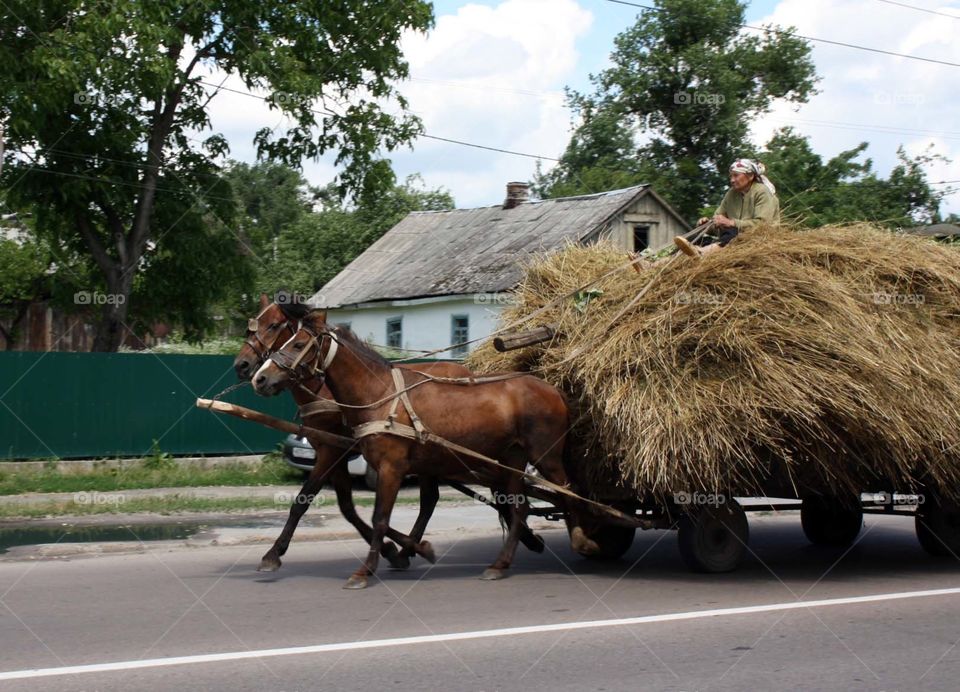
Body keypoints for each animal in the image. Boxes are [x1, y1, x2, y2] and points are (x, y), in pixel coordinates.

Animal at [255, 308, 600, 588]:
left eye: (296, 343)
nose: (259, 377)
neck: (381, 395)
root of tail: (552, 388)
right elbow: (345, 508)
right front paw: (403, 552)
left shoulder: (388, 467)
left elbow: (379, 518)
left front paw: (366, 570)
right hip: (509, 460)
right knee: (519, 507)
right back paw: (500, 564)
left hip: (544, 457)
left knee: (568, 492)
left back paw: (582, 540)